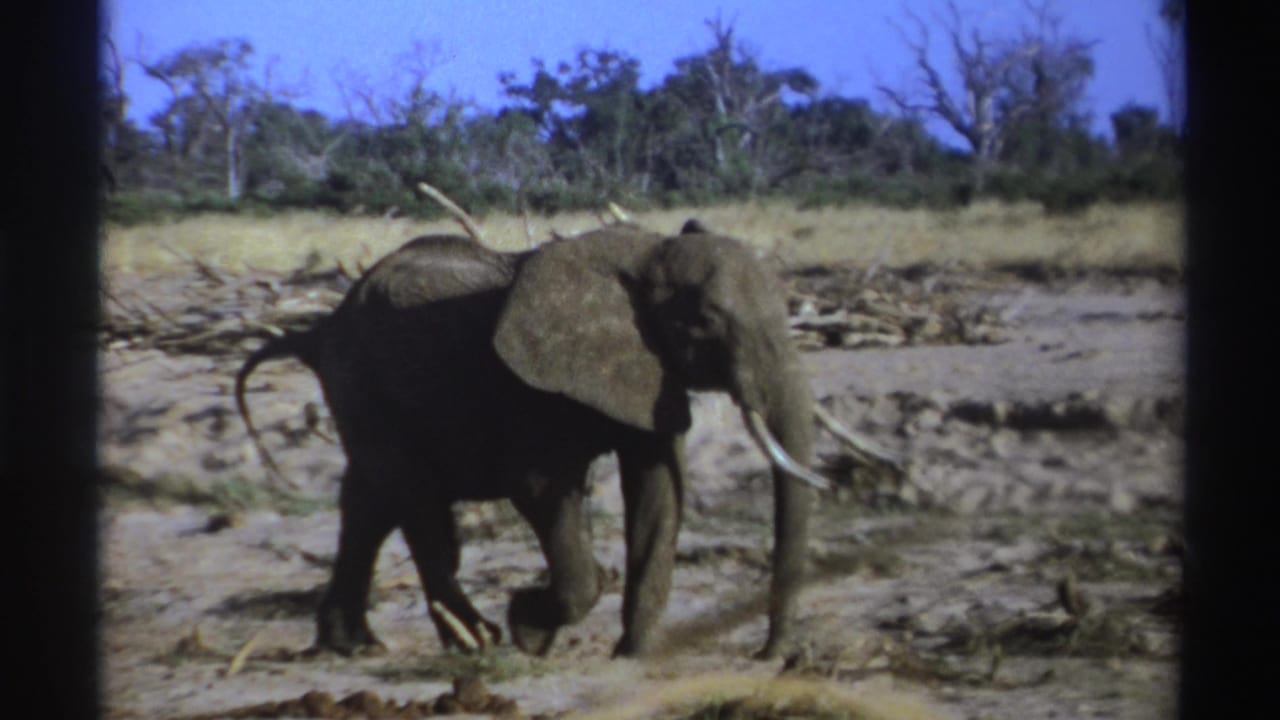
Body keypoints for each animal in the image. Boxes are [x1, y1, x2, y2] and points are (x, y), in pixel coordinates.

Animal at [235, 221, 842, 660]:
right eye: (707, 322)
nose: (769, 656)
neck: (650, 254)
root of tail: (318, 329)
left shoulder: (648, 373)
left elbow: (657, 492)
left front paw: (633, 657)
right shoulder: (532, 388)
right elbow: (542, 490)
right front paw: (528, 628)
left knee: (370, 501)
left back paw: (353, 648)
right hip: (363, 383)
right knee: (412, 500)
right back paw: (475, 641)